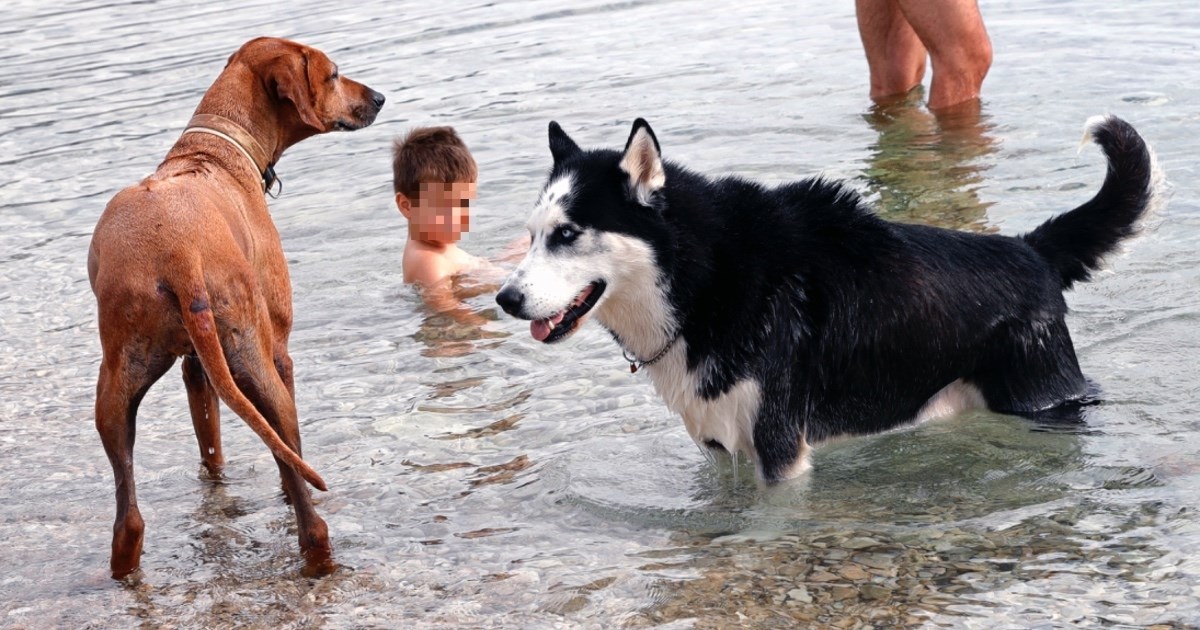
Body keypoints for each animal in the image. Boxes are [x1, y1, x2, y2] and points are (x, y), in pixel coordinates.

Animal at [85, 36, 384, 578]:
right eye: (334, 74)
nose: (379, 98)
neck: (218, 149)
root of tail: (178, 252)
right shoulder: (279, 349)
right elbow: (288, 455)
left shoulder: (196, 366)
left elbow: (211, 443)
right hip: (258, 363)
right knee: (305, 503)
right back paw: (319, 553)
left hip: (118, 378)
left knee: (129, 521)